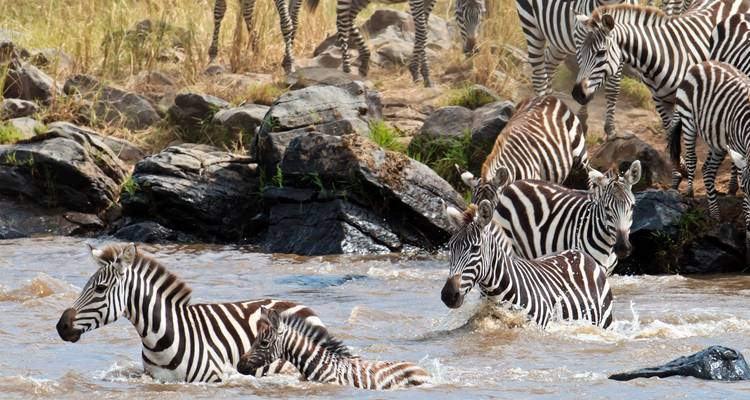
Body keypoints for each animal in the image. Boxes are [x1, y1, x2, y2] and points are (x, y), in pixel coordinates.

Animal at [336, 0, 485, 87]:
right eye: (460, 15)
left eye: (482, 16)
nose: (472, 50)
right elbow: (422, 31)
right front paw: (419, 72)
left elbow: (423, 29)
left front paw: (420, 73)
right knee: (342, 19)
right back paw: (346, 68)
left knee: (349, 18)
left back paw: (364, 61)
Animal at [441, 166, 614, 329]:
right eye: (451, 248)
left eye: (475, 248)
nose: (448, 295)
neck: (496, 292)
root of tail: (579, 253)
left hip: (606, 321)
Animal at [515, 0, 638, 137]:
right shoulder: (582, 38)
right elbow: (585, 79)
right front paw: (583, 119)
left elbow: (613, 89)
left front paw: (610, 128)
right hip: (531, 25)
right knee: (539, 76)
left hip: (559, 41)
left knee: (548, 64)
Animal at [667, 62, 750, 252]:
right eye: (745, 190)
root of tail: (703, 63)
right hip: (688, 120)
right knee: (692, 159)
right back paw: (691, 194)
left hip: (717, 137)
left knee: (707, 170)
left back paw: (715, 214)